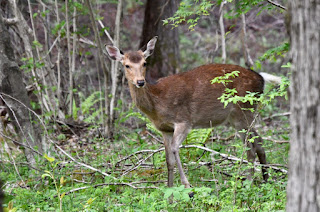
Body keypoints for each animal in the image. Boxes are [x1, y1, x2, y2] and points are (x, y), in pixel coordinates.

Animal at [105, 36, 280, 189]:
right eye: (126, 65)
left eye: (144, 63)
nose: (140, 82)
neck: (157, 104)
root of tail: (261, 78)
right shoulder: (164, 129)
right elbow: (168, 159)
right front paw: (169, 190)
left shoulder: (184, 121)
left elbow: (175, 149)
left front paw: (186, 185)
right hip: (239, 117)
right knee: (259, 141)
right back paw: (265, 179)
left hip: (242, 111)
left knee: (250, 147)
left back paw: (248, 182)